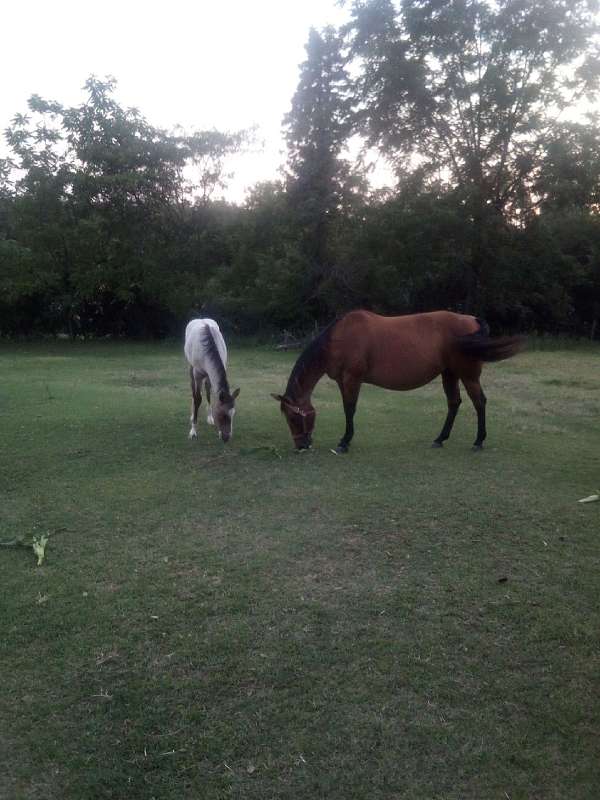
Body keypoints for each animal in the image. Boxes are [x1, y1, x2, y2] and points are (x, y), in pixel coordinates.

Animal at [271, 310, 524, 453]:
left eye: (293, 417)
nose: (301, 446)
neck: (339, 339)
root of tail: (472, 320)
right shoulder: (343, 381)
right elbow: (347, 408)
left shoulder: (352, 379)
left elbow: (349, 409)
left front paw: (344, 442)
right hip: (449, 373)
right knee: (454, 403)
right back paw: (440, 439)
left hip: (468, 375)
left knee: (479, 402)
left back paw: (478, 441)